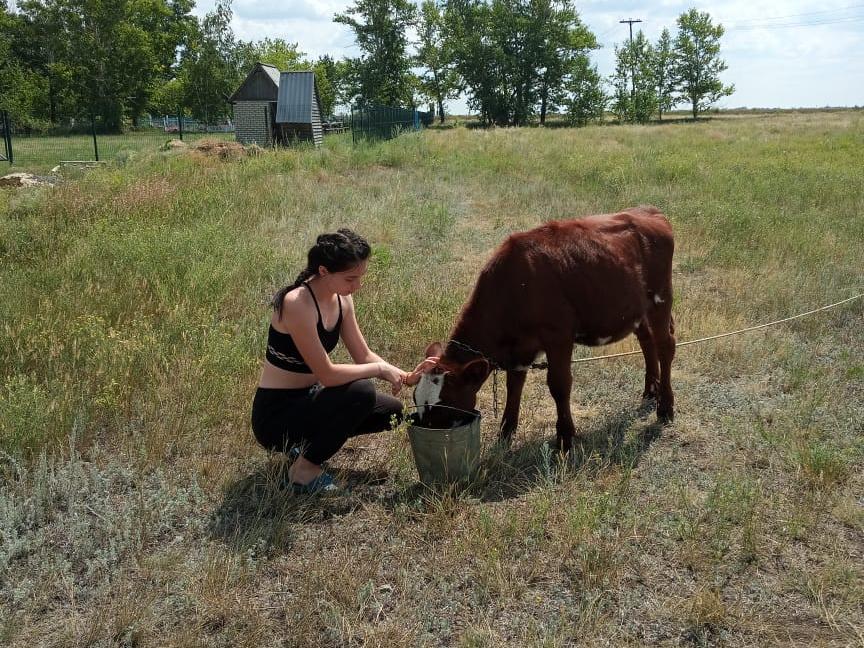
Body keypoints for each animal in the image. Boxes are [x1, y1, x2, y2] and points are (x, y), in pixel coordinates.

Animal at [416, 206, 680, 450]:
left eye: (443, 406)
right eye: (415, 399)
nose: (425, 431)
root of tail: (648, 211)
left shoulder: (558, 336)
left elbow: (559, 385)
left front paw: (565, 438)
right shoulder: (519, 348)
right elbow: (514, 386)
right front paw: (505, 434)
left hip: (661, 298)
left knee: (665, 345)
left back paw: (665, 407)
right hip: (637, 308)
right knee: (647, 341)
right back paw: (650, 391)